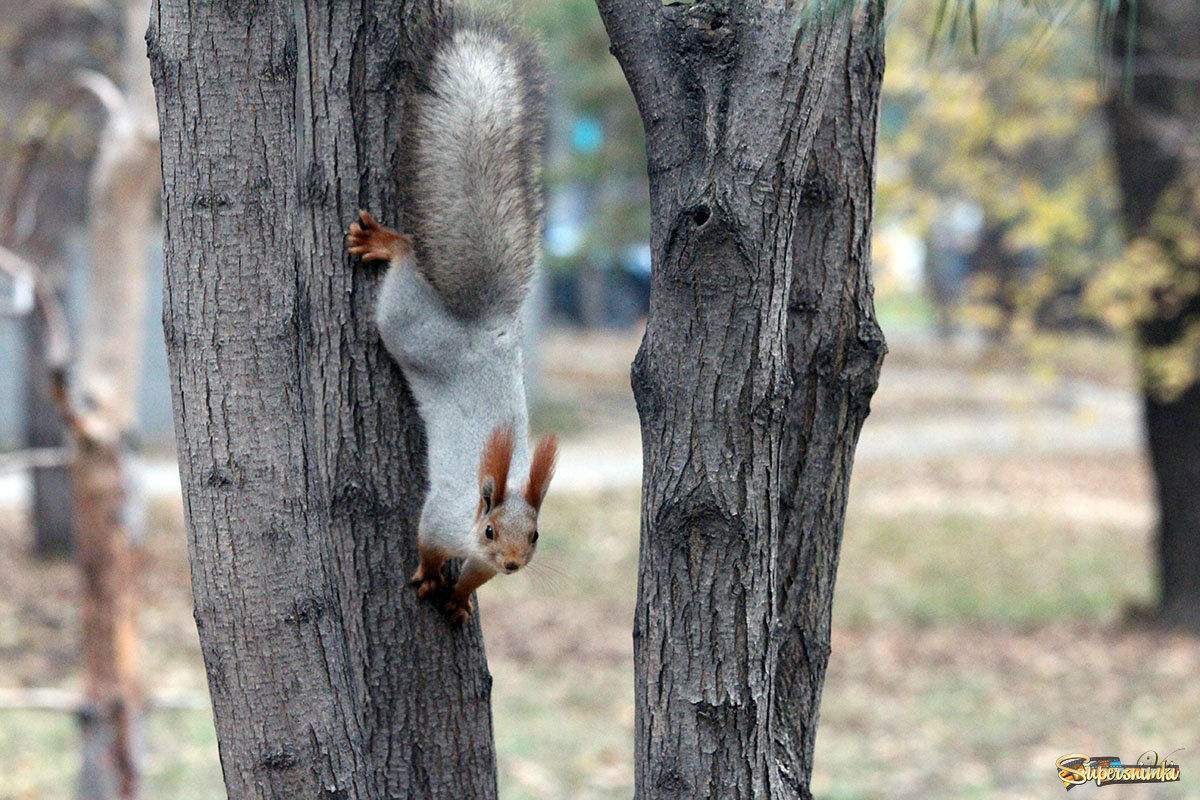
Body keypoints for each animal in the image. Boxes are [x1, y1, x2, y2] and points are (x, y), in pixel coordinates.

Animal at [345, 10, 554, 623]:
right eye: (489, 530)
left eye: (536, 536)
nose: (512, 565)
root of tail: (481, 328)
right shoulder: (441, 517)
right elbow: (426, 542)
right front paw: (427, 574)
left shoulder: (484, 564)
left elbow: (473, 582)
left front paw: (460, 599)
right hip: (408, 324)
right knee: (405, 267)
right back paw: (388, 243)